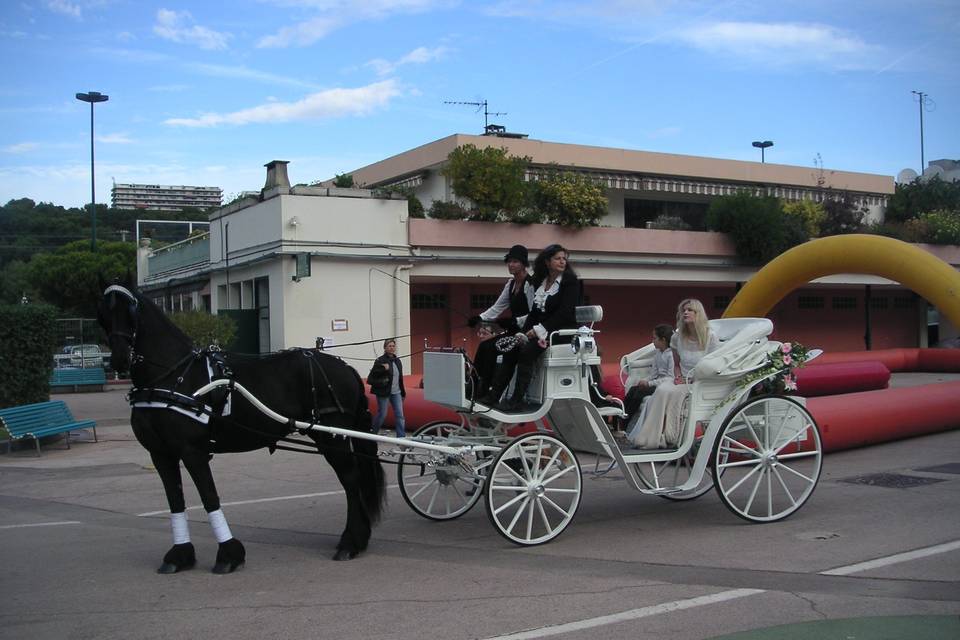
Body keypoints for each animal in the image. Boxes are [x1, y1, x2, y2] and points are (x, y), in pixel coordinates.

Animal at [94, 282, 386, 572]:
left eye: (132, 312)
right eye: (103, 316)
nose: (119, 360)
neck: (173, 377)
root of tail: (345, 367)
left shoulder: (192, 451)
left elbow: (209, 497)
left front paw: (228, 554)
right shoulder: (161, 454)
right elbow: (175, 500)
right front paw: (179, 555)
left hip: (332, 437)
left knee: (351, 480)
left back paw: (350, 542)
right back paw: (358, 539)